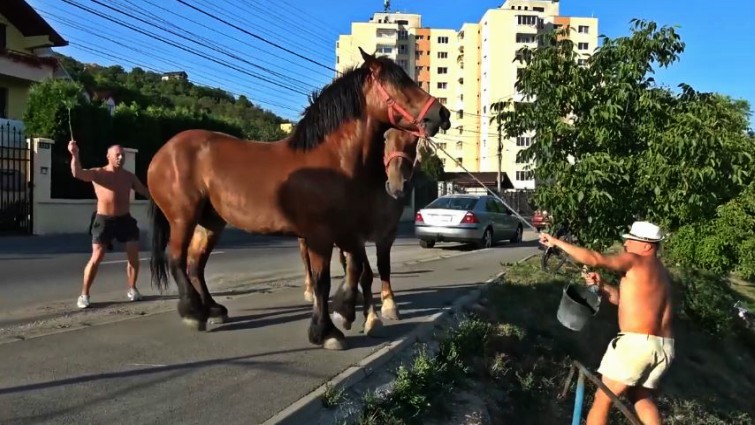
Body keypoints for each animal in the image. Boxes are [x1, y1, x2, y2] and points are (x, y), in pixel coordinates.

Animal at [298, 129, 421, 328]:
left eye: (414, 139)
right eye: (385, 138)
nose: (398, 185)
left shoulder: (387, 235)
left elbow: (383, 267)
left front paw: (389, 305)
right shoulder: (358, 235)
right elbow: (367, 273)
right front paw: (371, 317)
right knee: (306, 257)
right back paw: (310, 291)